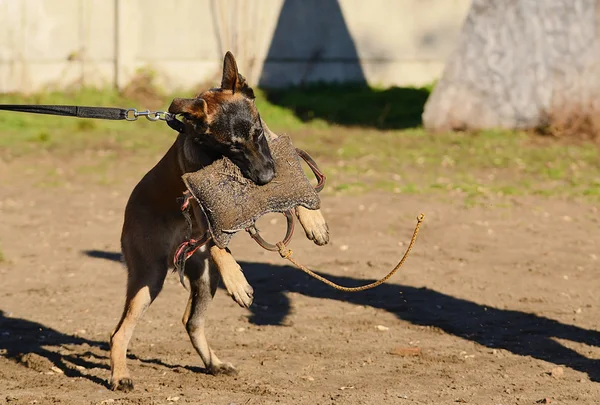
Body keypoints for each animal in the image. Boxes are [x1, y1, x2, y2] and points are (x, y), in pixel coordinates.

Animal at [110, 52, 330, 390]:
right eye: (233, 145)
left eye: (257, 133)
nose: (267, 178)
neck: (214, 155)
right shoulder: (202, 214)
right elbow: (217, 243)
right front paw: (238, 282)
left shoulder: (274, 145)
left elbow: (298, 182)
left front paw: (314, 220)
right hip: (150, 277)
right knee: (119, 332)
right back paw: (120, 375)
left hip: (203, 279)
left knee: (191, 322)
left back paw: (213, 364)